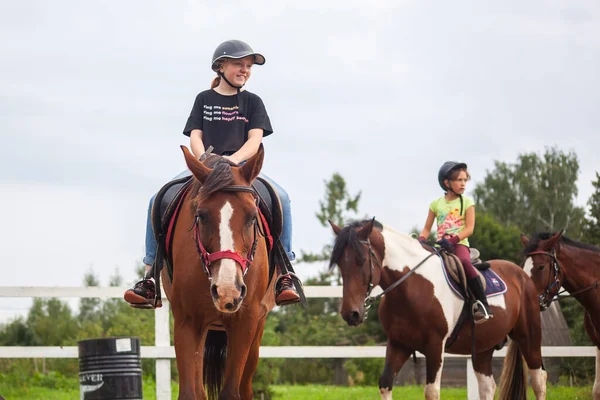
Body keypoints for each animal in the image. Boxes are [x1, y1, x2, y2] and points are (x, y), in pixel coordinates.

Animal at [162, 146, 278, 400]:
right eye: (201, 215)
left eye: (252, 216)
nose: (227, 291)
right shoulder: (187, 322)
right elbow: (189, 393)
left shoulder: (245, 323)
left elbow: (231, 392)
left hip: (256, 332)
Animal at [330, 219, 548, 400]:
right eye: (340, 263)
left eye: (362, 260)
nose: (351, 314)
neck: (411, 287)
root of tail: (522, 275)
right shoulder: (399, 344)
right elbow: (385, 384)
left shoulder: (435, 346)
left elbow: (431, 392)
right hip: (483, 348)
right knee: (487, 387)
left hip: (529, 338)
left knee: (539, 380)